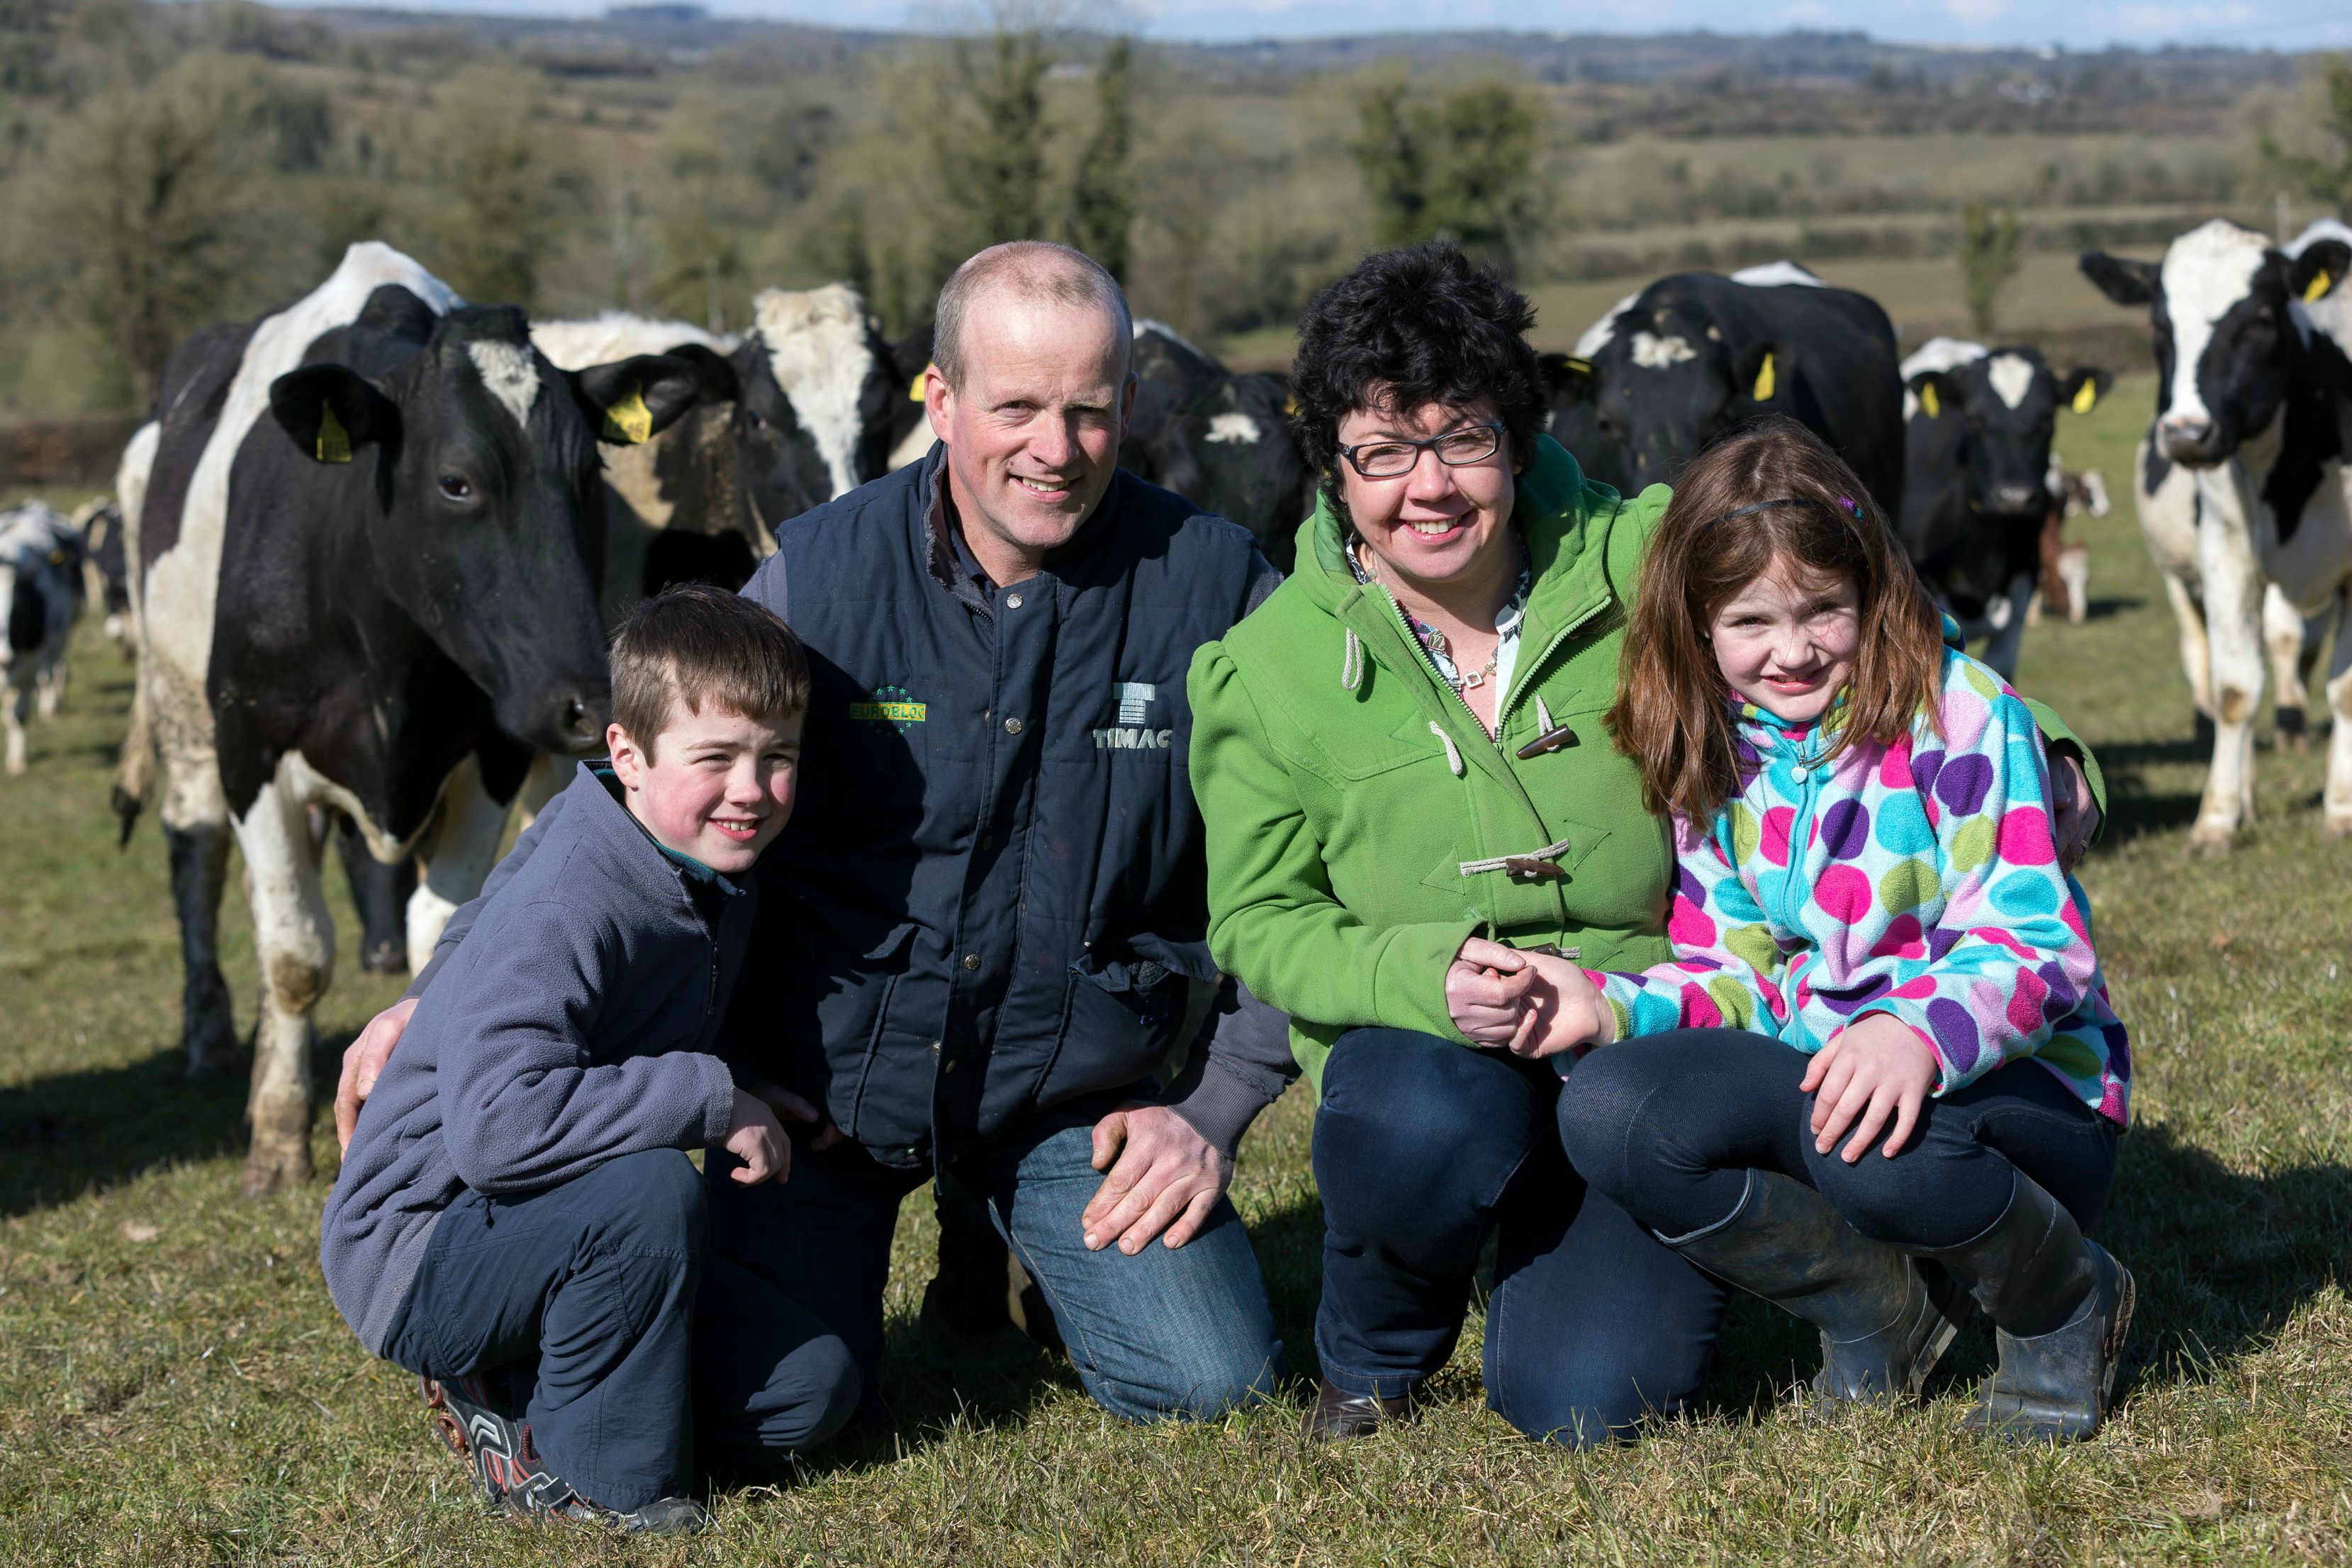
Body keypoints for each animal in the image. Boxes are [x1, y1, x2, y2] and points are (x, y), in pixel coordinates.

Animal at [0, 500, 86, 775]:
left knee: (54, 668)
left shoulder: (30, 663)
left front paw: (17, 763)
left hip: (62, 631)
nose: (5, 659)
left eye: (19, 609)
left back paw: (50, 703)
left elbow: (19, 714)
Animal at [119, 242, 705, 1189]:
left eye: (588, 477)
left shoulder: (493, 752)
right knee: (198, 860)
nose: (590, 700)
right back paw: (213, 1036)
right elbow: (294, 953)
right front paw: (277, 1142)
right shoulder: (251, 743)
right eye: (456, 482)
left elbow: (439, 939)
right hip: (182, 717)